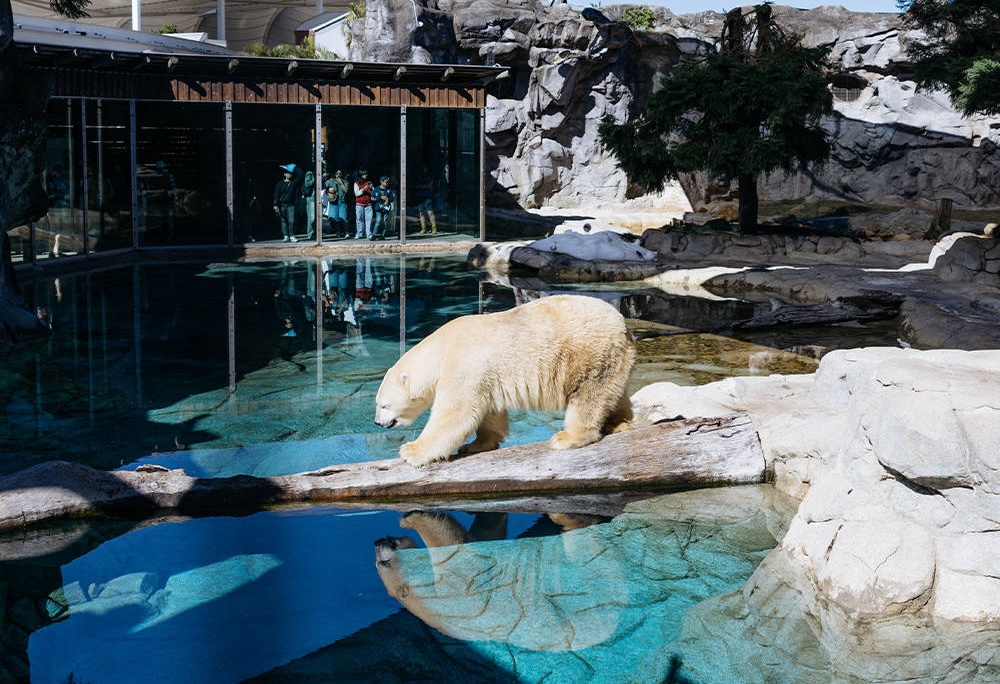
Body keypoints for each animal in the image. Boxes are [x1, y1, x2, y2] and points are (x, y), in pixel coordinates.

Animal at [374, 294, 635, 466]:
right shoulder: (485, 376)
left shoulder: (462, 367)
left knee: (588, 397)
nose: (378, 422)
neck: (440, 349)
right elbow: (489, 411)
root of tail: (623, 325)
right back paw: (619, 423)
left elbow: (455, 415)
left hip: (589, 355)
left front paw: (411, 451)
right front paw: (476, 444)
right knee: (614, 394)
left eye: (384, 405)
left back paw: (568, 437)